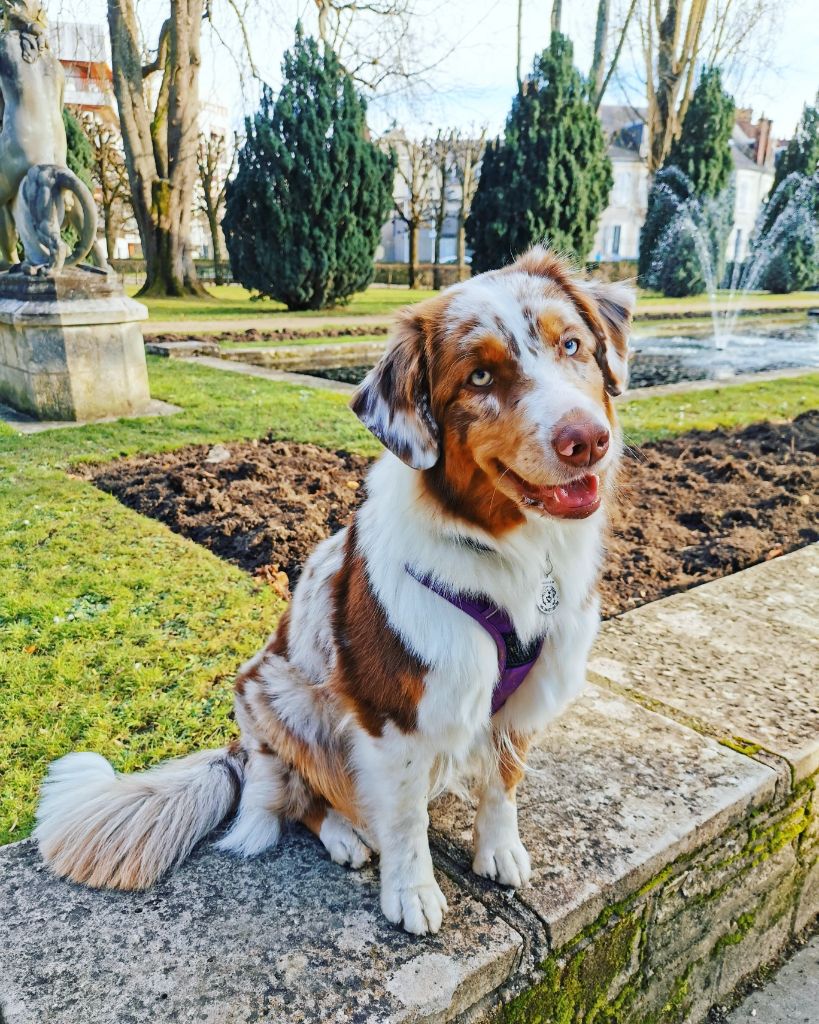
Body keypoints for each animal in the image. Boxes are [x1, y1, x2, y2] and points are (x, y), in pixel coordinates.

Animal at [35, 247, 634, 937]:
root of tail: (239, 753)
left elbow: (503, 780)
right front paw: (412, 892)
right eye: (480, 377)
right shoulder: (392, 712)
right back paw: (346, 835)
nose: (586, 440)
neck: (510, 552)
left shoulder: (524, 695)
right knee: (298, 799)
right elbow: (405, 818)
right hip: (277, 697)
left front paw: (499, 849)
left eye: (572, 344)